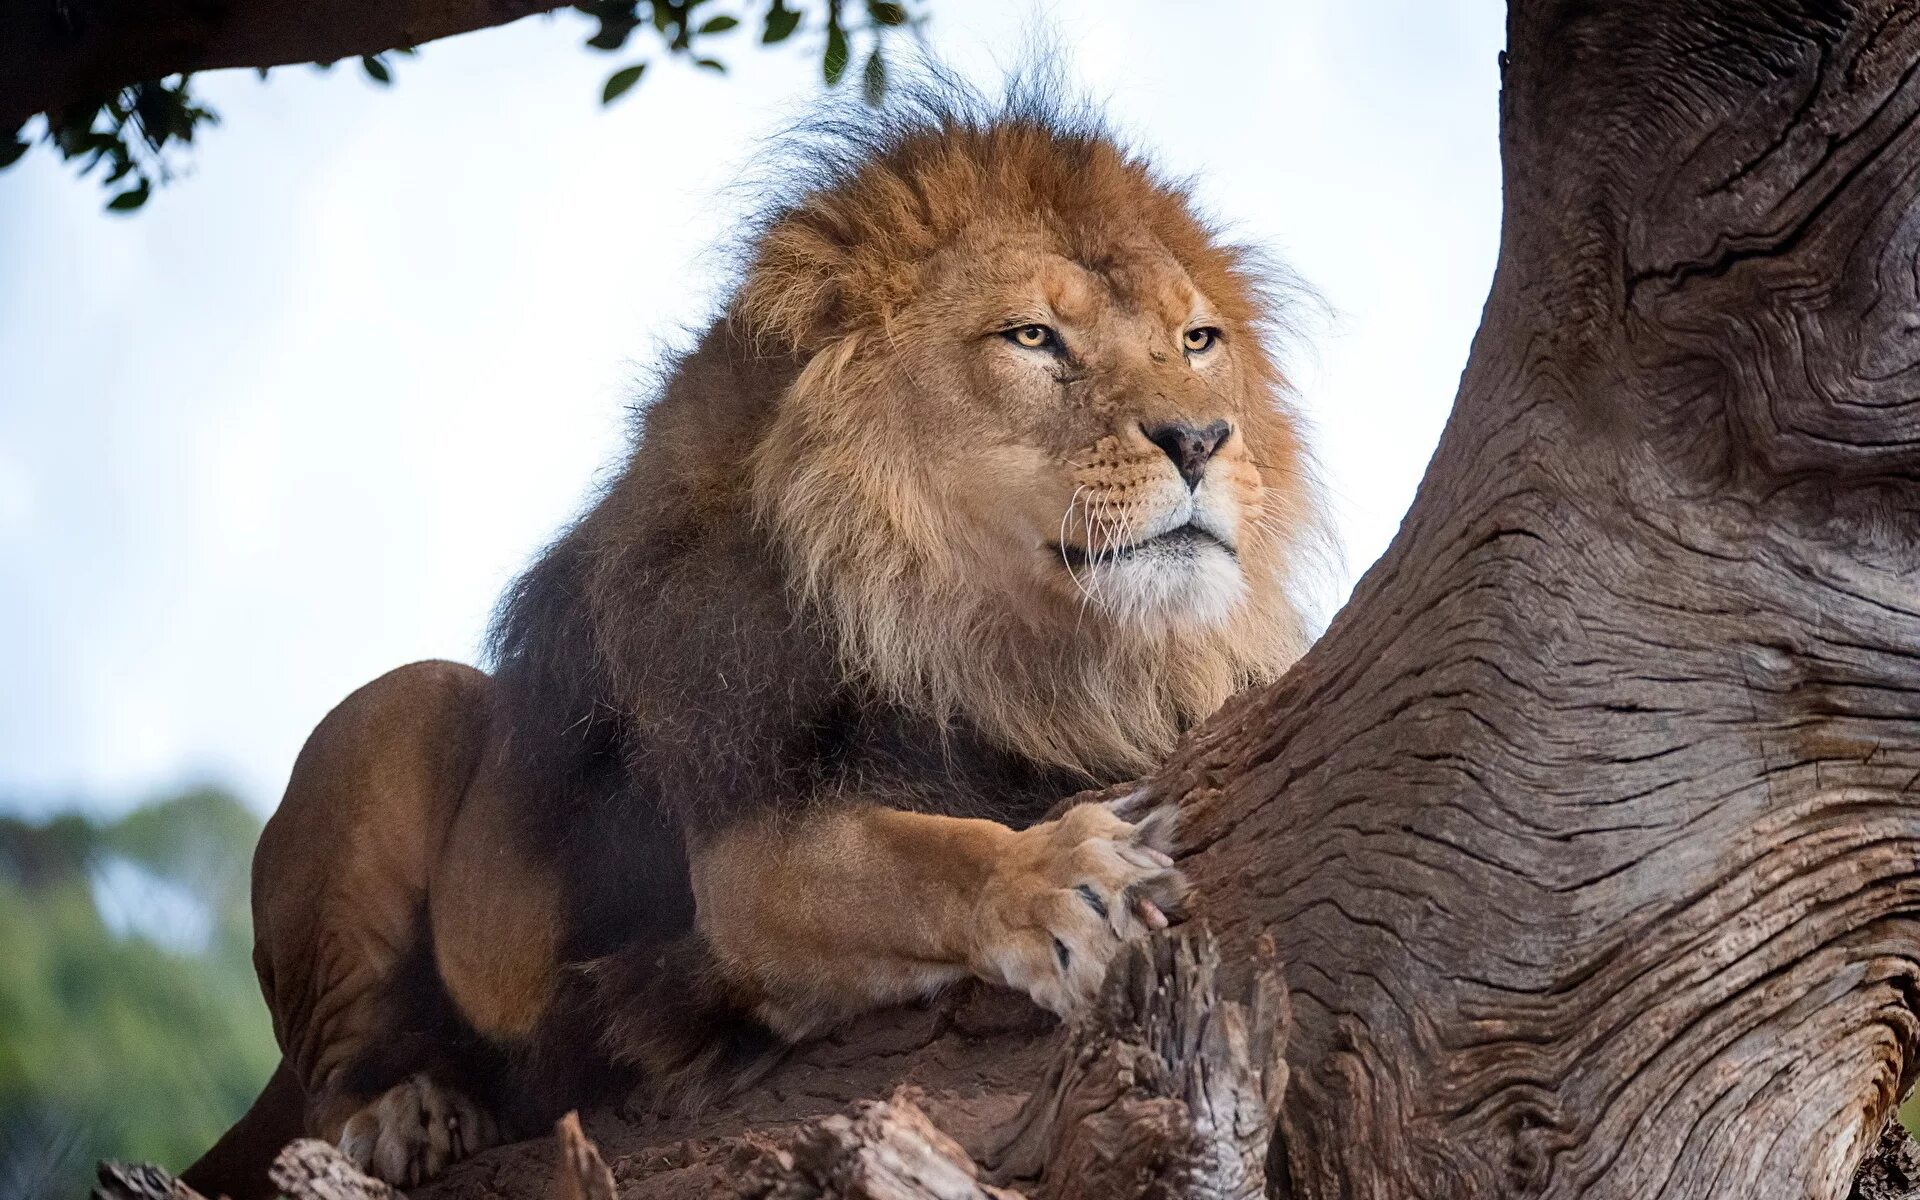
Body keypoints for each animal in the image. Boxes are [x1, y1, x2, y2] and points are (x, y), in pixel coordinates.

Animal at [180, 79, 1320, 1190]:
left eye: (1198, 341)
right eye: (1033, 338)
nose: (1201, 439)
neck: (1012, 649)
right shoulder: (744, 853)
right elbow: (925, 857)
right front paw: (1059, 880)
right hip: (396, 709)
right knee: (326, 1083)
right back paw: (399, 1113)